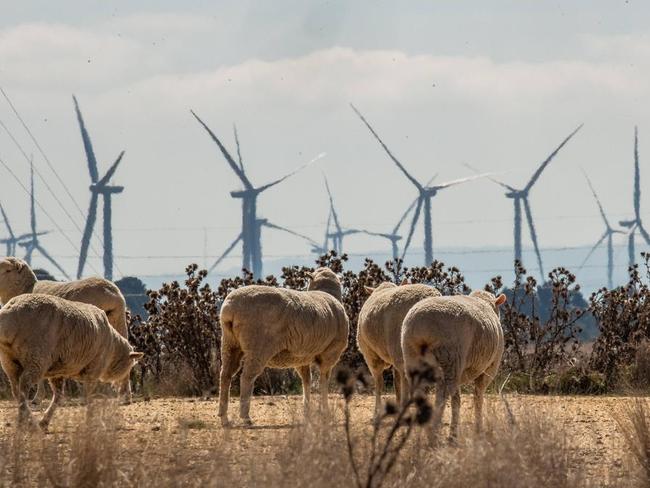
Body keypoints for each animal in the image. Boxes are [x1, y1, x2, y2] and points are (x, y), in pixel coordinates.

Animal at [0, 258, 133, 402]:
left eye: (7, 270)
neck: (25, 288)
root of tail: (111, 294)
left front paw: (37, 398)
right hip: (119, 323)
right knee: (126, 354)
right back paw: (124, 396)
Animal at [0, 292, 142, 428]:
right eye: (130, 366)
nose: (121, 389)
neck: (112, 346)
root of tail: (10, 314)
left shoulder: (57, 372)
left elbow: (58, 397)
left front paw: (45, 422)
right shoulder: (93, 369)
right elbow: (88, 396)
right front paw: (92, 420)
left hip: (8, 360)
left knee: (16, 389)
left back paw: (27, 421)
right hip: (36, 357)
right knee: (24, 386)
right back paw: (27, 423)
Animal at [218, 266, 346, 428]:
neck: (326, 292)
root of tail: (231, 308)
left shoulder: (301, 357)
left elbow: (307, 381)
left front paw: (307, 412)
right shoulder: (330, 353)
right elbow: (324, 382)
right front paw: (325, 413)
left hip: (229, 344)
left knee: (225, 375)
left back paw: (224, 418)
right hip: (258, 347)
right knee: (247, 377)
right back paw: (245, 417)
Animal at [354, 280, 440, 414]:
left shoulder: (372, 355)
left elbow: (380, 383)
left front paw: (377, 410)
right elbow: (396, 382)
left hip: (401, 350)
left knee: (405, 378)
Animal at [400, 290, 506, 438]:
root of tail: (422, 326)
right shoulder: (489, 368)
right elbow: (478, 397)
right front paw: (478, 428)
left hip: (412, 356)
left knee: (422, 394)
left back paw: (425, 432)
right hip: (450, 359)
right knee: (447, 398)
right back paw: (442, 433)